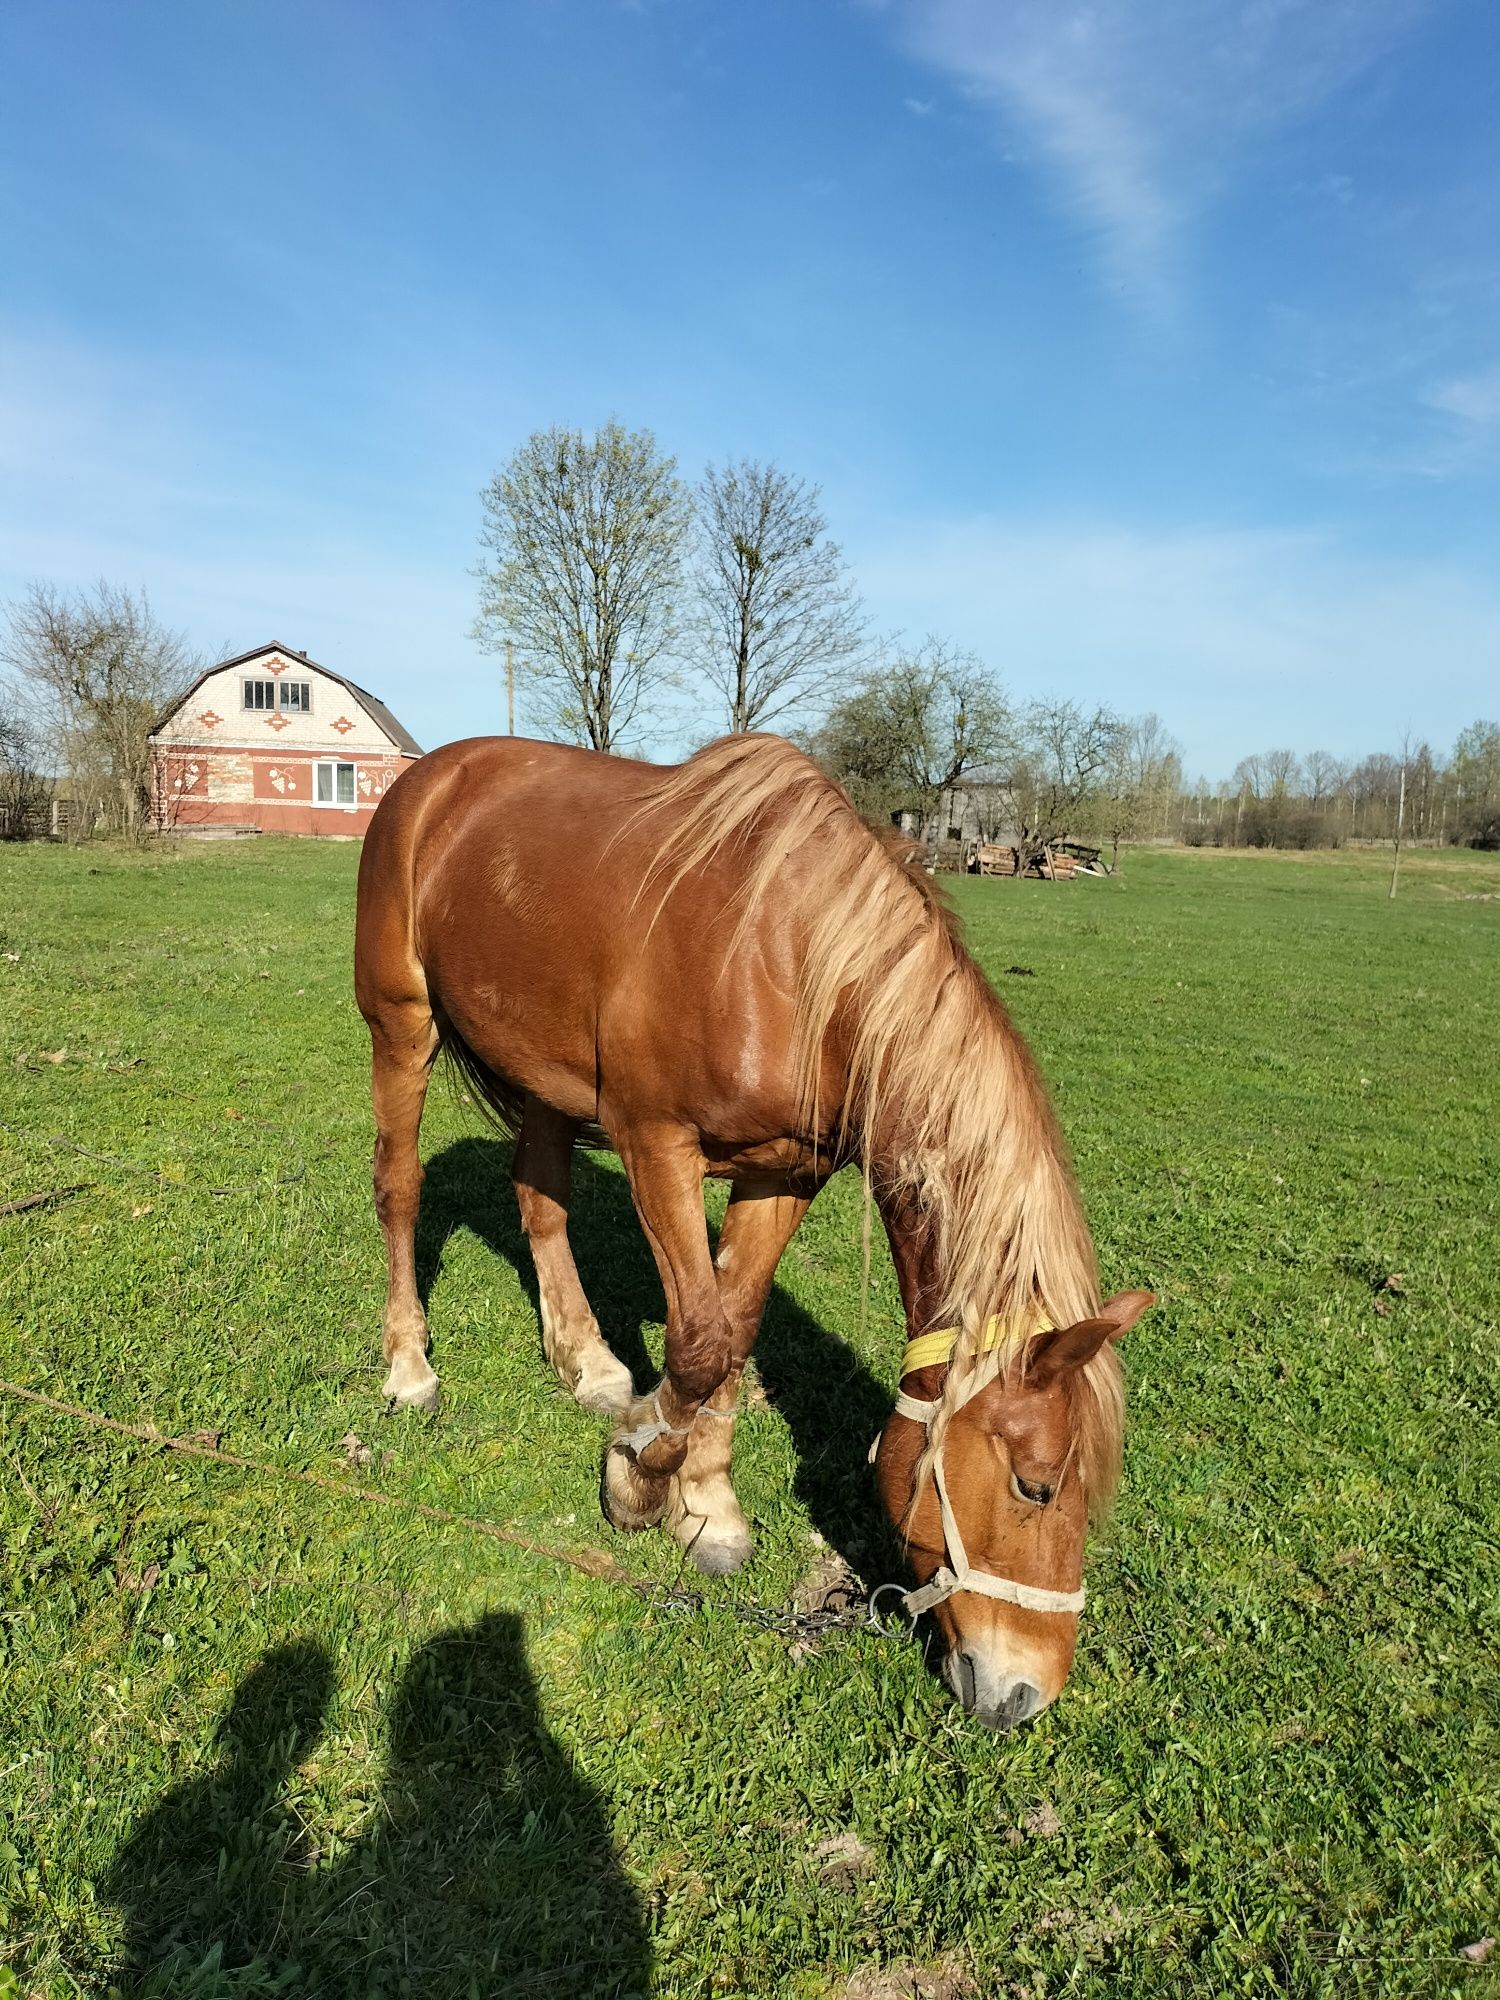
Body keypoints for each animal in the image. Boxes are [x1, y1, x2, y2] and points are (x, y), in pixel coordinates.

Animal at [358, 728, 1160, 1728]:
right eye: (1036, 1485)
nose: (1025, 1695)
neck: (793, 962)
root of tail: (431, 777)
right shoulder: (656, 1142)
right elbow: (700, 1343)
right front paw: (636, 1479)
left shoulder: (785, 1173)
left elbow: (734, 1335)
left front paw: (707, 1507)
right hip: (402, 1026)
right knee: (399, 1189)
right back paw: (409, 1367)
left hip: (539, 1068)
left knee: (540, 1196)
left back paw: (587, 1361)